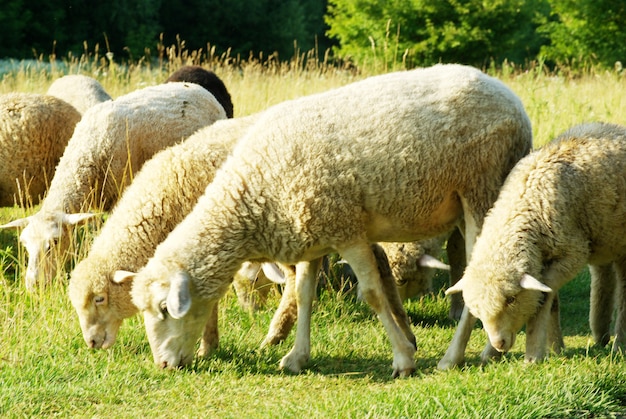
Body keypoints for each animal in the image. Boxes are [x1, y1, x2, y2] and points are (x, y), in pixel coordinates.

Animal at [123, 63, 532, 378]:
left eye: (164, 309)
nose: (162, 365)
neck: (253, 194)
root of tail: (509, 96)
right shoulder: (312, 233)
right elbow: (304, 295)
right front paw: (296, 357)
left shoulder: (347, 229)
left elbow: (372, 294)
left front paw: (403, 359)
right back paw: (488, 349)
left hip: (481, 189)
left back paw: (453, 357)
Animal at [446, 122, 626, 368]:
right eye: (476, 308)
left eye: (511, 299)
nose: (498, 343)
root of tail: (615, 127)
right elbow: (550, 300)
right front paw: (553, 347)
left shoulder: (572, 253)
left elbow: (544, 296)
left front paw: (533, 352)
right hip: (602, 234)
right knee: (603, 274)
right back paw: (601, 334)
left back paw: (619, 345)